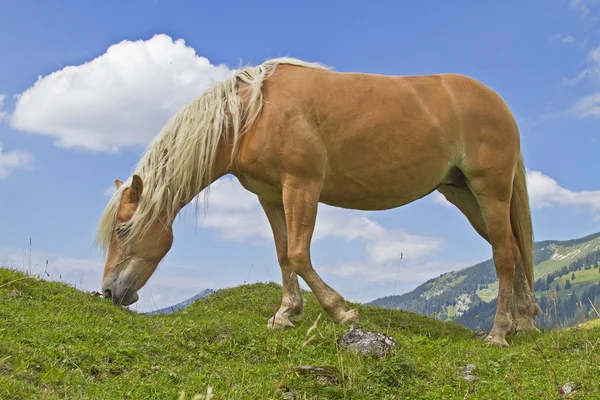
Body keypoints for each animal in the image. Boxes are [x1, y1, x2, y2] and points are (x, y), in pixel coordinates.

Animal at [96, 56, 540, 346]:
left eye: (123, 229)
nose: (109, 293)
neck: (252, 115)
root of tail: (498, 105)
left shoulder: (301, 186)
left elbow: (298, 253)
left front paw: (340, 310)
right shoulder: (271, 196)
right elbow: (283, 255)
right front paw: (285, 314)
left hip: (490, 190)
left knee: (503, 254)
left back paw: (499, 333)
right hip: (464, 194)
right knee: (513, 248)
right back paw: (525, 323)